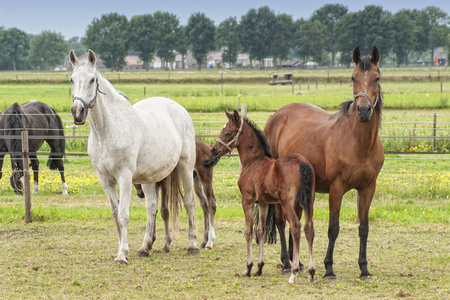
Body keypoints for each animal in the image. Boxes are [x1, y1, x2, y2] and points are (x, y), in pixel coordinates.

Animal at [68, 49, 199, 264]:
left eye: (92, 79)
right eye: (71, 79)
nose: (78, 112)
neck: (106, 131)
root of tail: (179, 109)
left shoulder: (125, 177)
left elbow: (123, 216)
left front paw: (122, 255)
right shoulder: (105, 180)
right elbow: (115, 215)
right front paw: (124, 249)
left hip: (185, 167)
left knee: (189, 201)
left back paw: (193, 244)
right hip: (150, 177)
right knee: (152, 208)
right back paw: (144, 247)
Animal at [206, 110, 314, 284]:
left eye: (228, 132)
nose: (213, 150)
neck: (253, 161)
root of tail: (300, 162)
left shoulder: (247, 200)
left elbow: (249, 231)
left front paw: (248, 268)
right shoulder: (263, 203)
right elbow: (260, 230)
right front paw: (259, 268)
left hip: (288, 203)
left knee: (296, 227)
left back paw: (294, 273)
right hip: (308, 202)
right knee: (309, 228)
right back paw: (311, 272)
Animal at [266, 47, 384, 282]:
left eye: (377, 77)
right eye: (353, 77)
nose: (363, 110)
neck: (359, 143)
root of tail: (276, 116)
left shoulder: (368, 188)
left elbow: (364, 227)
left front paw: (364, 269)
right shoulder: (336, 188)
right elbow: (333, 228)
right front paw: (329, 269)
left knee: (295, 220)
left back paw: (298, 263)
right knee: (281, 221)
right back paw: (286, 263)